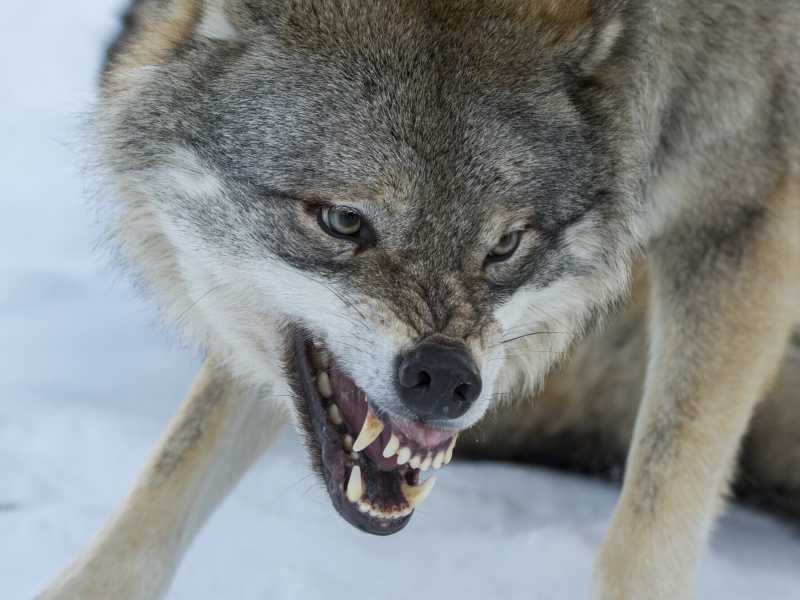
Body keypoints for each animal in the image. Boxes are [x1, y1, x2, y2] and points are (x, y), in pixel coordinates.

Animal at [40, 0, 800, 598]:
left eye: (505, 245)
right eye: (344, 220)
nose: (443, 378)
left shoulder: (742, 218)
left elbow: (650, 524)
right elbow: (174, 470)